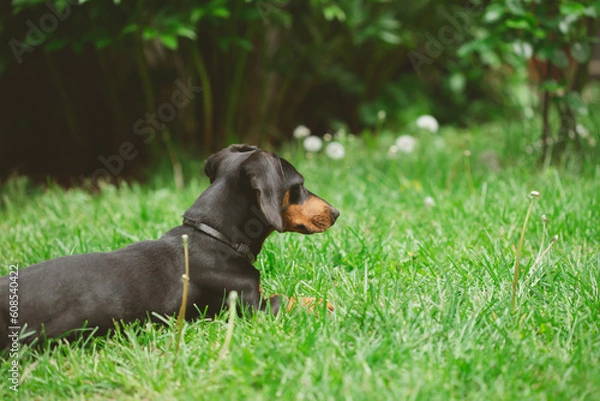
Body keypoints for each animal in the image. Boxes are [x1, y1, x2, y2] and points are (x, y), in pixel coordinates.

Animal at [0, 144, 338, 346]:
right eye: (300, 185)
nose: (335, 212)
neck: (214, 238)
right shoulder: (250, 309)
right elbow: (287, 298)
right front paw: (324, 303)